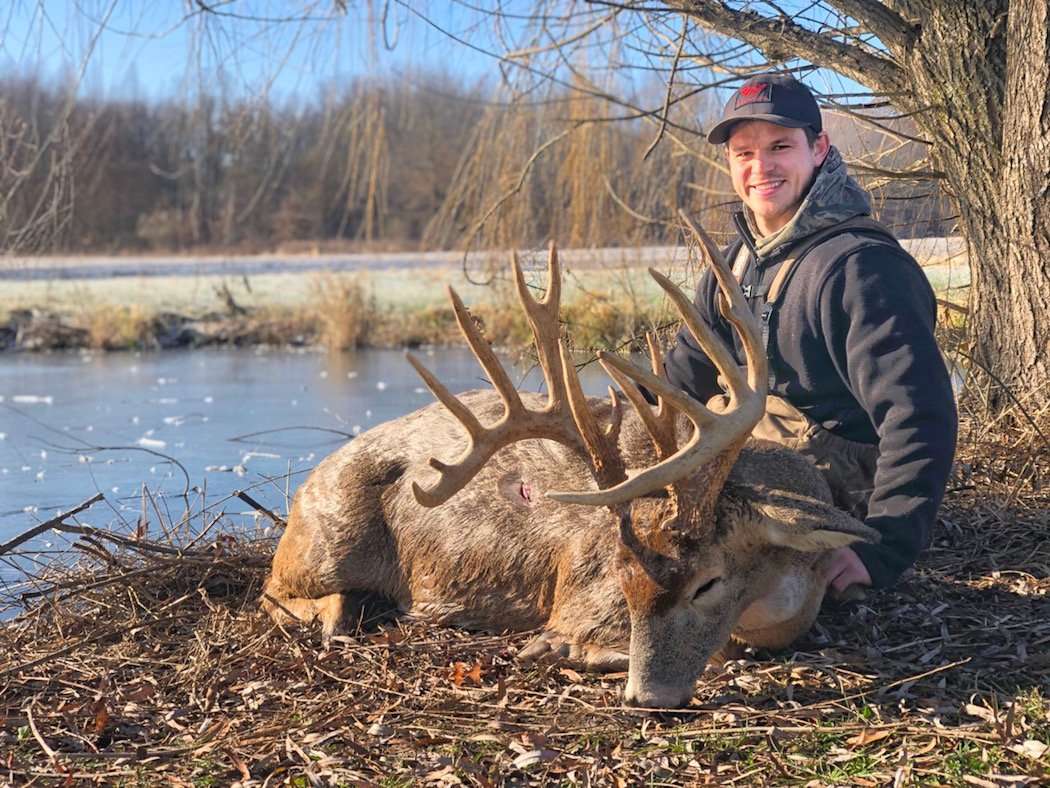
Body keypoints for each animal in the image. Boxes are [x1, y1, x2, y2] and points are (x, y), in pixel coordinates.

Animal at [261, 218, 879, 709]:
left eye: (709, 583)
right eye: (622, 581)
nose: (647, 697)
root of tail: (306, 486)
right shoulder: (579, 596)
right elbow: (580, 639)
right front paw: (563, 647)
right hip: (328, 536)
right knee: (275, 589)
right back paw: (340, 612)